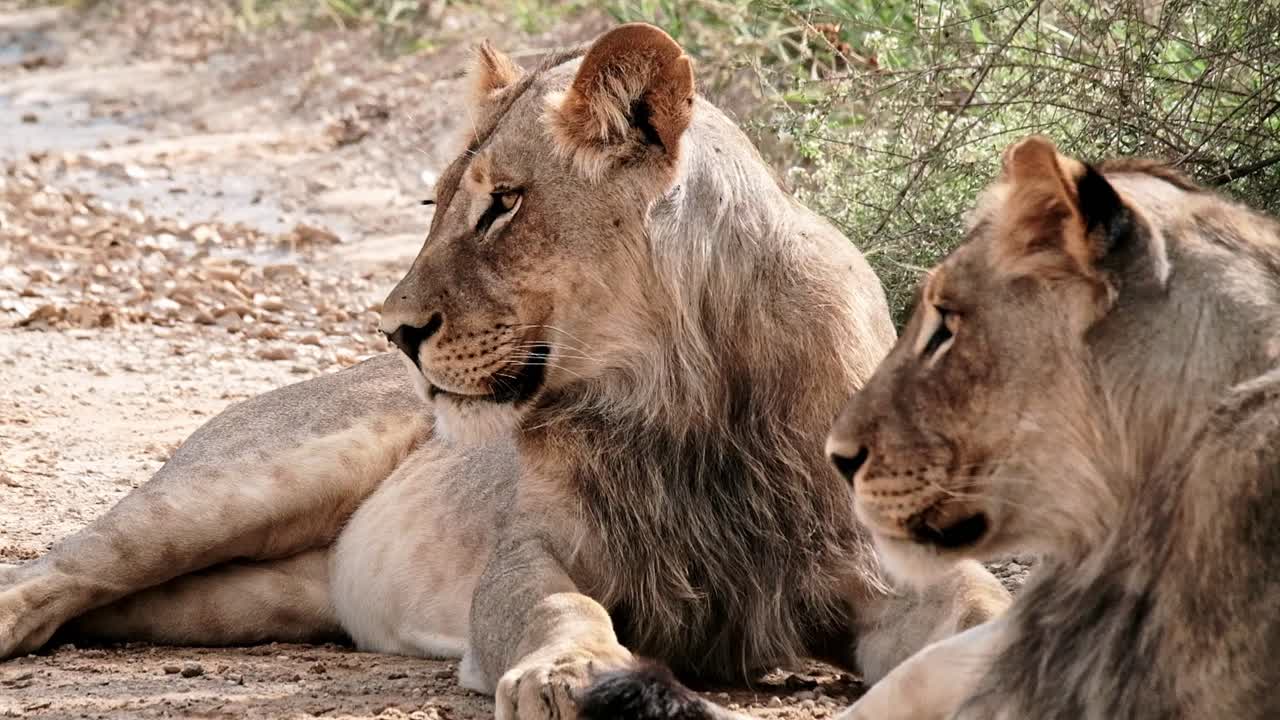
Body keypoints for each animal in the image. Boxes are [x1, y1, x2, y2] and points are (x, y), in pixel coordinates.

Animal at [0, 24, 1009, 720]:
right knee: (61, 568)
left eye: (503, 205)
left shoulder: (875, 564)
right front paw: (574, 672)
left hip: (237, 598)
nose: (395, 330)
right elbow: (552, 604)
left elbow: (978, 598)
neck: (679, 392)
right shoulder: (535, 545)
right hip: (241, 484)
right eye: (438, 203)